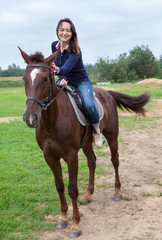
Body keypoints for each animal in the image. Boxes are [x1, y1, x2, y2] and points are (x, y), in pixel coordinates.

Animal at [18, 47, 151, 238]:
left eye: (45, 79)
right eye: (24, 79)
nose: (30, 118)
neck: (52, 122)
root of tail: (108, 93)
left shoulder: (71, 155)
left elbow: (72, 188)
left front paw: (75, 225)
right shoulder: (49, 156)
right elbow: (59, 186)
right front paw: (62, 218)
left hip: (112, 136)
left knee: (115, 160)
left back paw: (117, 191)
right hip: (87, 143)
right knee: (92, 162)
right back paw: (88, 194)